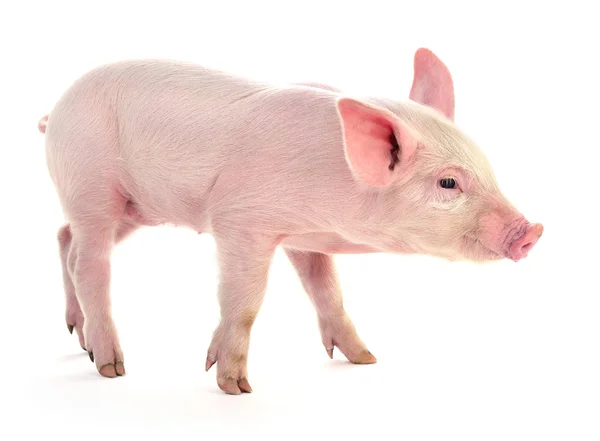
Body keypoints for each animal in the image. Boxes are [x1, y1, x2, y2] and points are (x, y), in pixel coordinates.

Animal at [38, 47, 544, 392]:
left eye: (487, 167)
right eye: (449, 183)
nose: (532, 231)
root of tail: (55, 111)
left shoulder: (305, 238)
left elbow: (327, 291)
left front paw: (366, 360)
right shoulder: (240, 219)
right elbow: (244, 301)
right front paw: (235, 387)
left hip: (135, 208)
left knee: (65, 239)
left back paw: (78, 338)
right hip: (91, 184)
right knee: (90, 265)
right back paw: (111, 368)